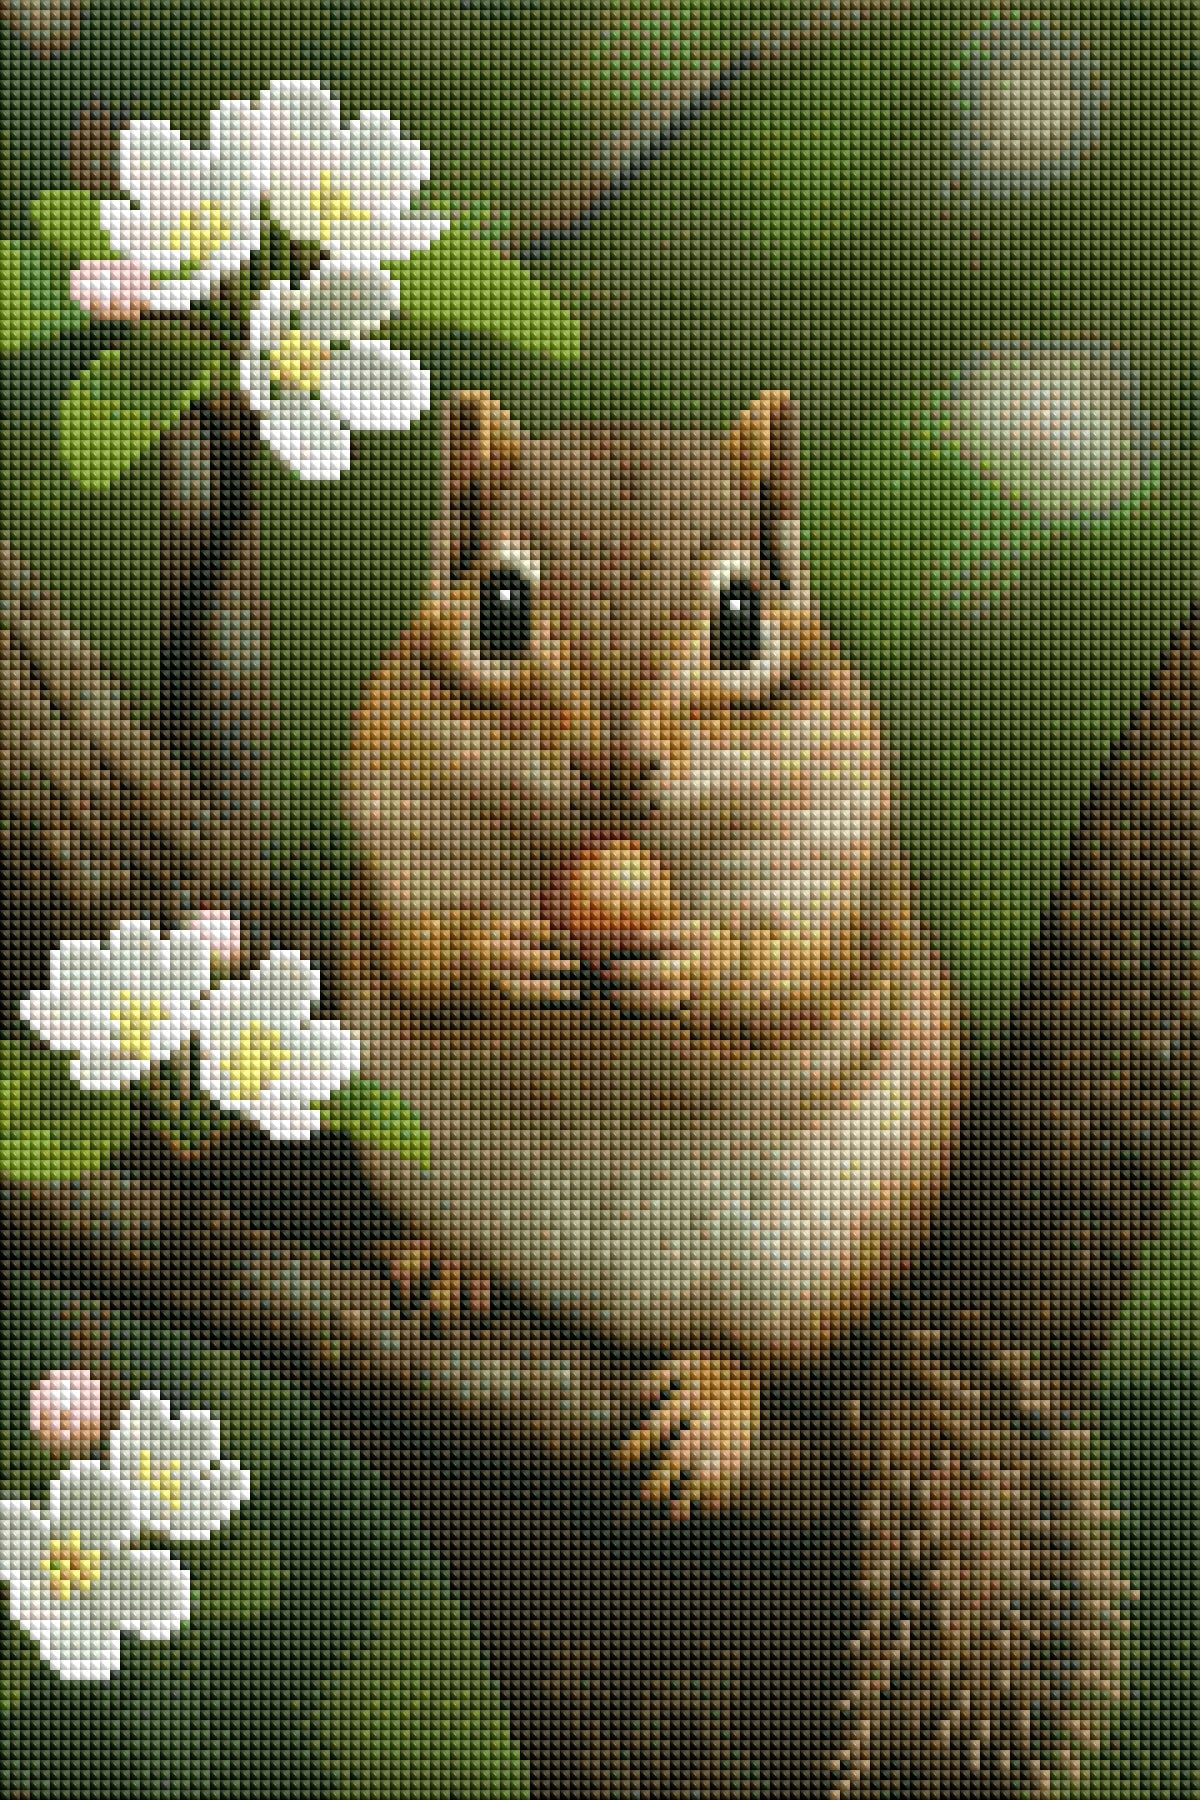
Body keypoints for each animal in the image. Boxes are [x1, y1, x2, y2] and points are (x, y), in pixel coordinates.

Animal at [339, 387, 963, 1523]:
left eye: (743, 616)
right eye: (498, 605)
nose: (615, 760)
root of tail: (600, 1319)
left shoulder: (838, 859)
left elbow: (791, 972)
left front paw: (694, 965)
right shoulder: (395, 818)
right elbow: (423, 947)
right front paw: (502, 950)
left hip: (825, 1260)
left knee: (774, 1361)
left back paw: (713, 1399)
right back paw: (448, 1265)